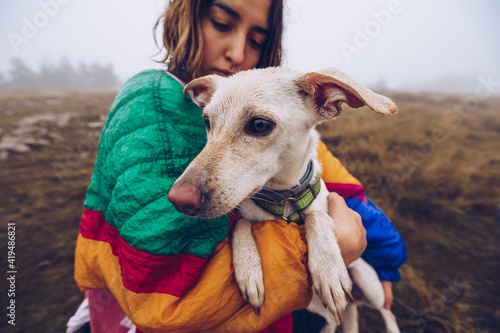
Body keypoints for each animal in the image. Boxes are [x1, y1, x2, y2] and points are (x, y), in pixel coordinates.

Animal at [170, 67, 400, 330]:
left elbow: (316, 216)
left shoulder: (324, 205)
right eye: (207, 121)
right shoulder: (246, 213)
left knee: (386, 311)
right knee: (333, 320)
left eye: (260, 124)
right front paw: (249, 269)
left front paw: (328, 268)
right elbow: (241, 223)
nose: (177, 199)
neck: (284, 201)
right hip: (311, 303)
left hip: (368, 281)